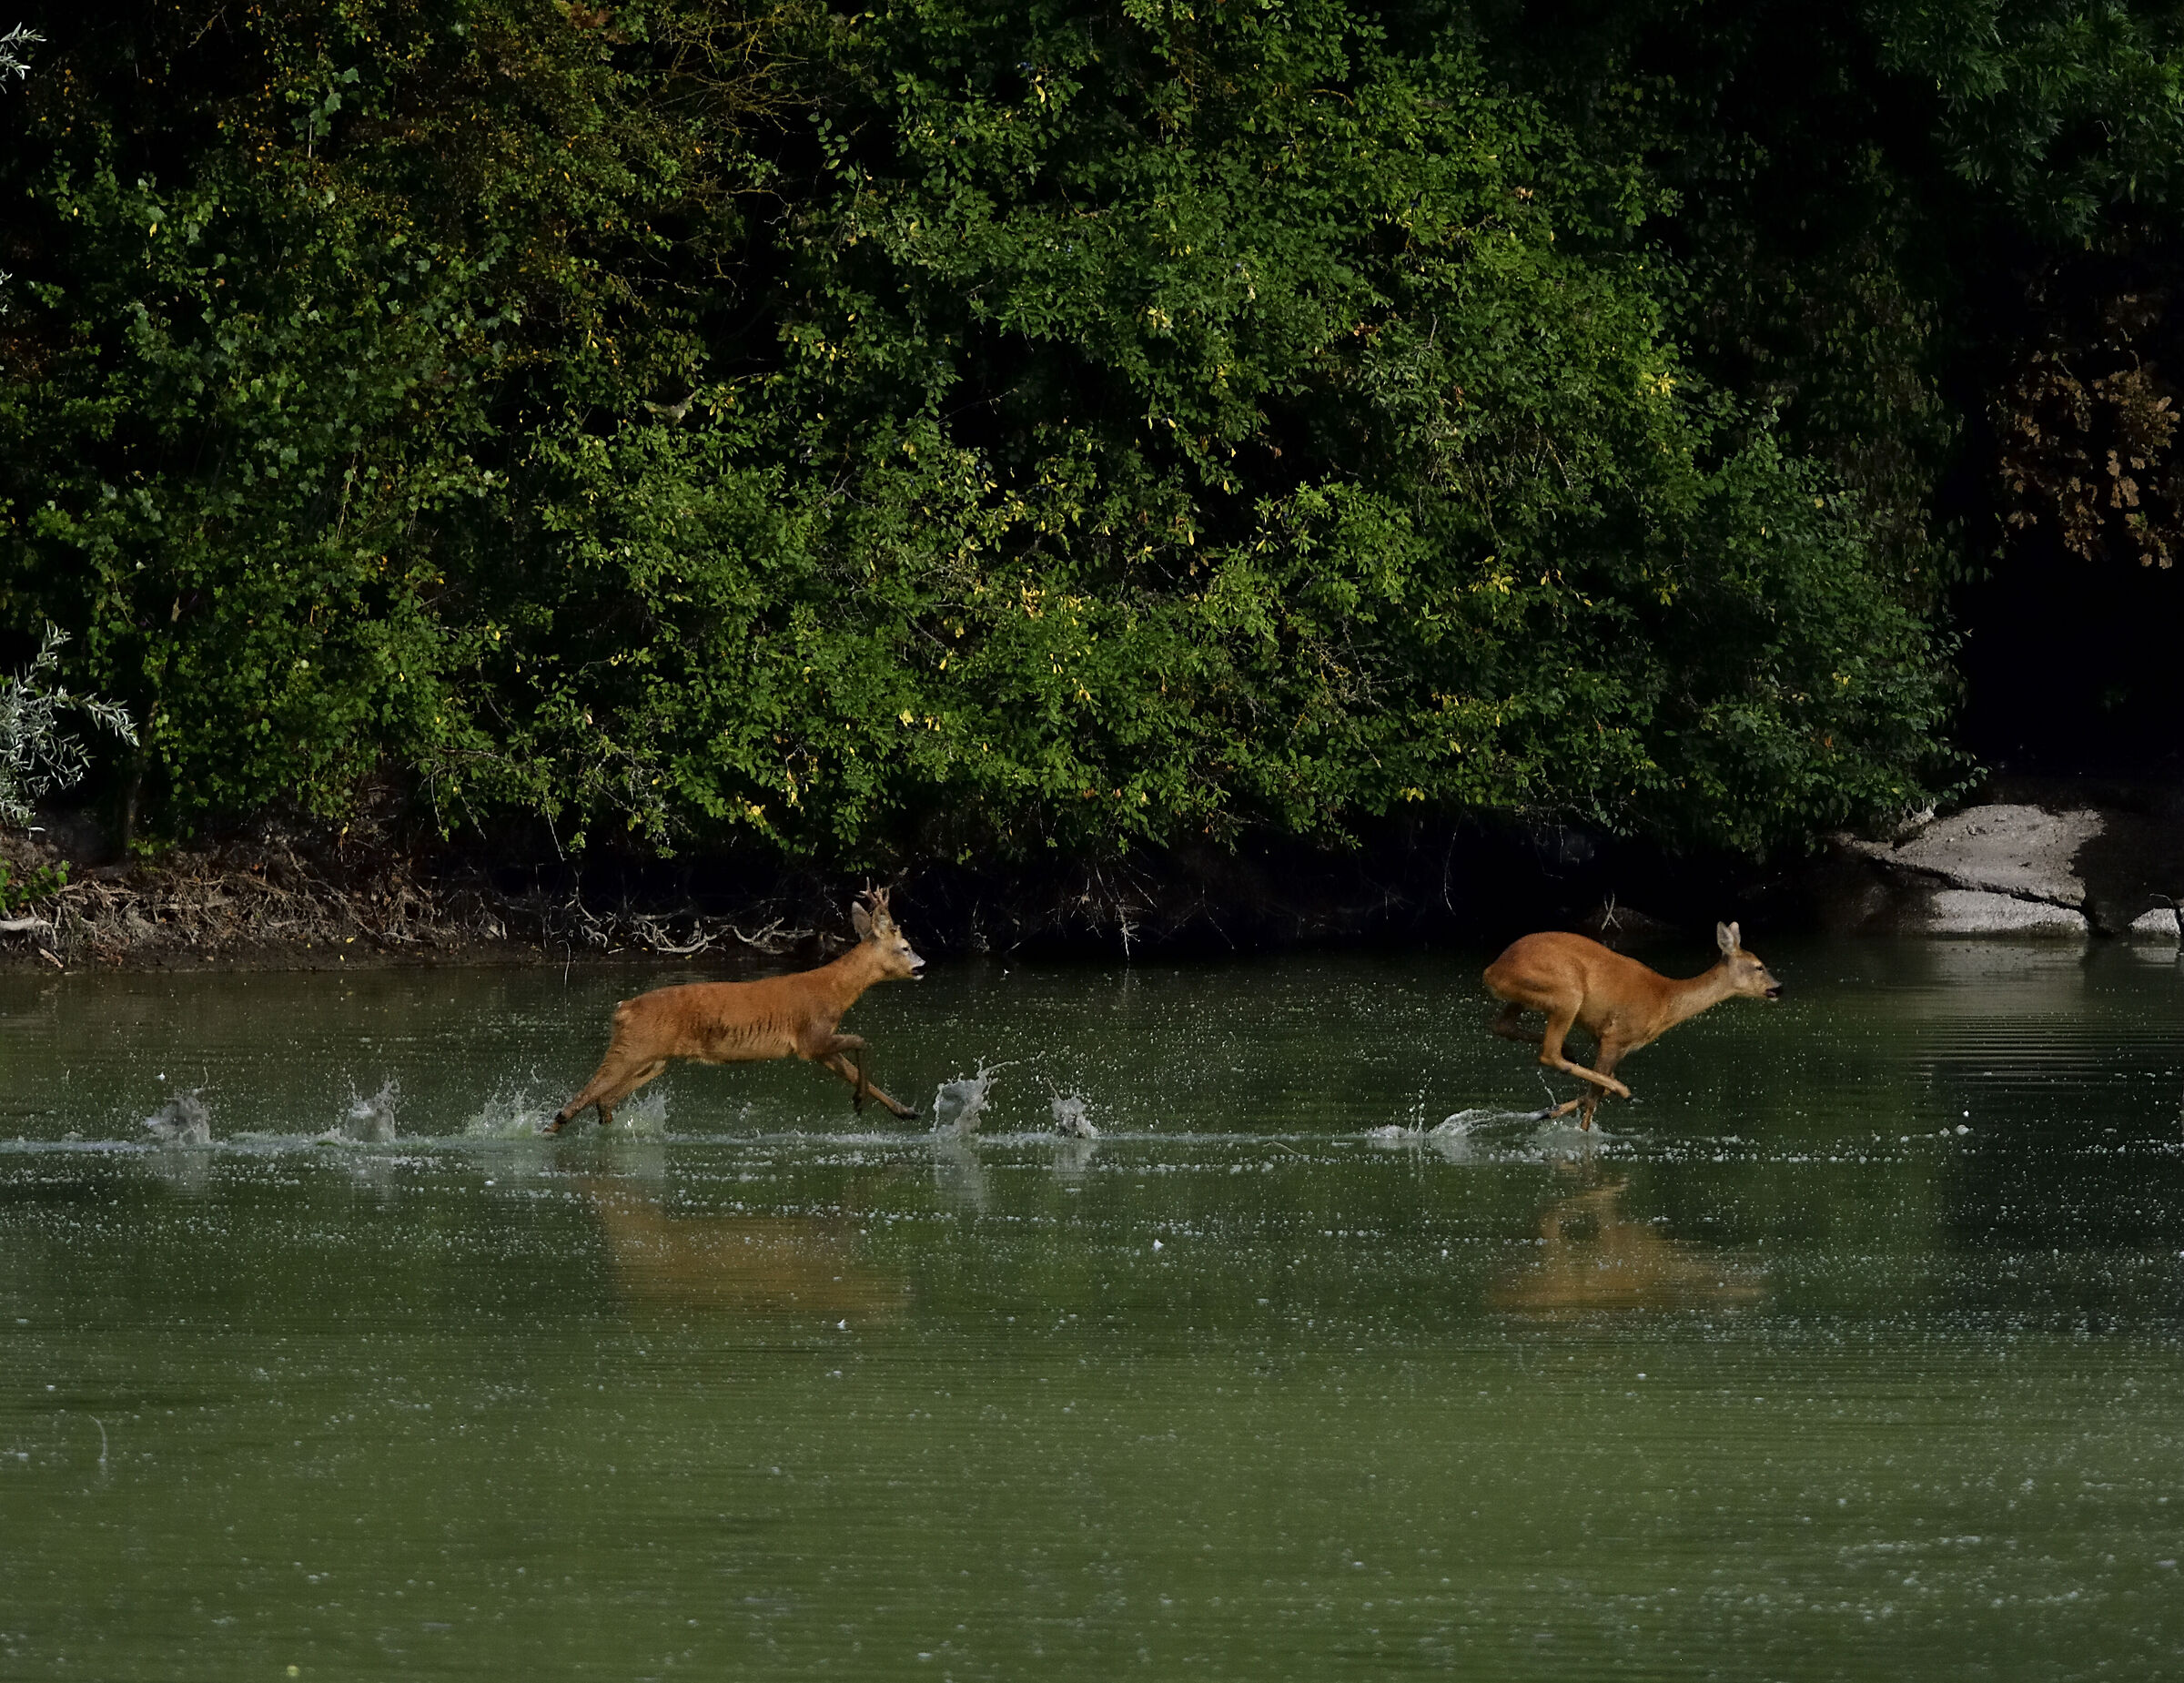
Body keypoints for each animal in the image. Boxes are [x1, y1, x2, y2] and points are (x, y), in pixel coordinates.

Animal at [545, 888, 925, 1133]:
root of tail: (622, 1009)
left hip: (653, 1059)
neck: (835, 991)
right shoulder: (811, 1038)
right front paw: (859, 1101)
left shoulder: (820, 1047)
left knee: (603, 1101)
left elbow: (855, 1065)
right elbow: (862, 1041)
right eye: (905, 946)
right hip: (633, 1047)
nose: (922, 965)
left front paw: (906, 1111)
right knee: (578, 1102)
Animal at [1483, 921, 1782, 1129]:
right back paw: (1622, 1090)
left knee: (1502, 1026)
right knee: (1548, 1053)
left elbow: (1596, 1090)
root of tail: (1492, 971)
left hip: (1528, 998)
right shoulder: (1616, 1035)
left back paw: (1570, 1058)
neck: (1665, 1003)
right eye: (1759, 966)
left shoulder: (1603, 1037)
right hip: (1566, 992)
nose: (1777, 987)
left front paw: (1551, 1112)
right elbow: (1594, 1098)